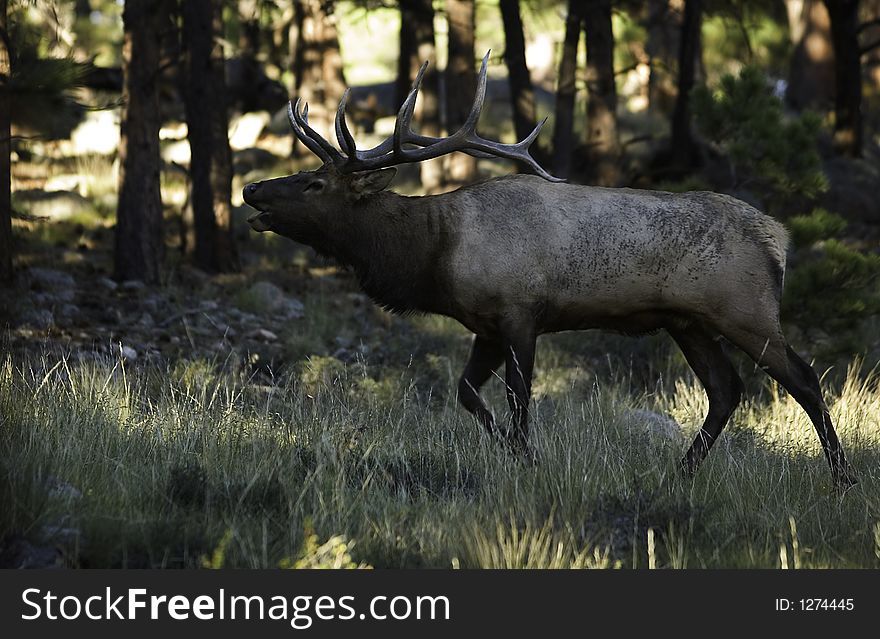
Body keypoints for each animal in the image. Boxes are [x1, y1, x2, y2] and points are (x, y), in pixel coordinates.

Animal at [239, 52, 852, 490]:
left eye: (315, 183)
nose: (250, 189)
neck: (435, 254)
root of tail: (780, 238)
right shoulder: (485, 326)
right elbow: (467, 392)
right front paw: (512, 454)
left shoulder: (520, 314)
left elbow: (519, 400)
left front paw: (527, 460)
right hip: (688, 321)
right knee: (726, 389)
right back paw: (680, 474)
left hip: (745, 309)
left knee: (804, 378)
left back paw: (841, 479)